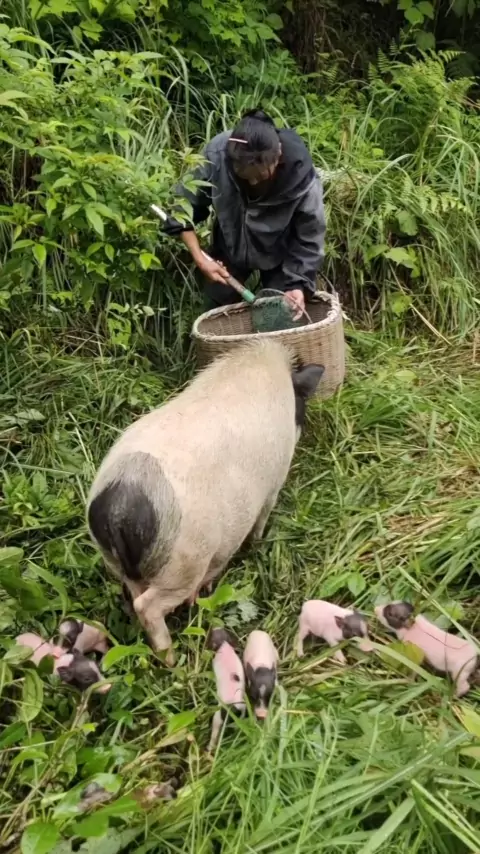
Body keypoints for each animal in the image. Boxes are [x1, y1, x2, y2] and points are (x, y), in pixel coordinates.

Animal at [86, 340, 325, 665]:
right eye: (302, 404)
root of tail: (123, 500)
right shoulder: (274, 483)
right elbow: (261, 520)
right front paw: (258, 544)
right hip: (183, 564)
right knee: (148, 607)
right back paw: (171, 660)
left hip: (119, 565)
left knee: (133, 596)